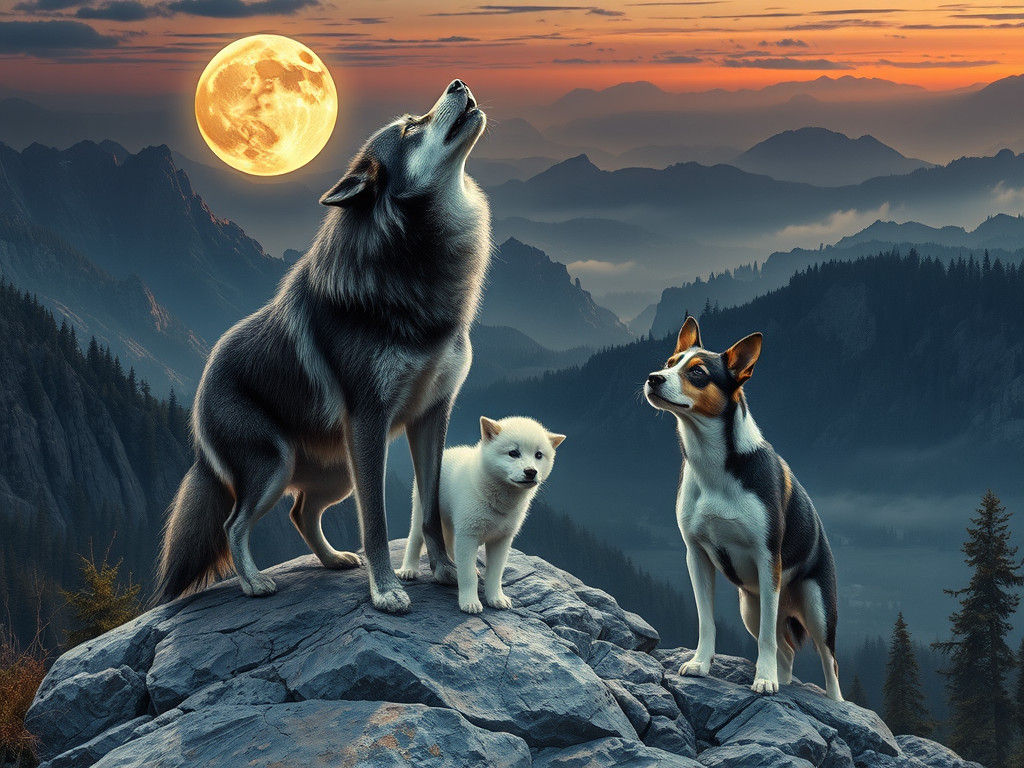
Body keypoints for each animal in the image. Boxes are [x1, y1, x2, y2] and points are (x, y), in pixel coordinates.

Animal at [155, 79, 490, 614]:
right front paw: (386, 590)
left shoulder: (432, 414)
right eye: (410, 128)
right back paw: (254, 583)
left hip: (336, 473)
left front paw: (443, 571)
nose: (458, 84)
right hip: (277, 466)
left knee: (300, 512)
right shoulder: (370, 420)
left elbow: (430, 509)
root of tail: (203, 380)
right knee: (234, 523)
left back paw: (333, 561)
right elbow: (375, 522)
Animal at [397, 416, 565, 613]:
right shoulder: (468, 534)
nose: (531, 471)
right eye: (513, 453)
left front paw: (497, 599)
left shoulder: (501, 539)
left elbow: (495, 574)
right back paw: (408, 569)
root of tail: (447, 451)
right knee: (415, 538)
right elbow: (468, 575)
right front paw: (470, 603)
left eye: (538, 455)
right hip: (422, 511)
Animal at [644, 317, 842, 700]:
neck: (714, 465)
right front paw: (701, 663)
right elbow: (706, 621)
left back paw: (831, 699)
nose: (653, 378)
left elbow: (765, 639)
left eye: (698, 373)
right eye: (668, 363)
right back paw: (785, 678)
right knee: (787, 648)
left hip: (816, 607)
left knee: (828, 661)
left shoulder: (768, 560)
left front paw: (763, 679)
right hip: (751, 605)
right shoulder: (697, 556)